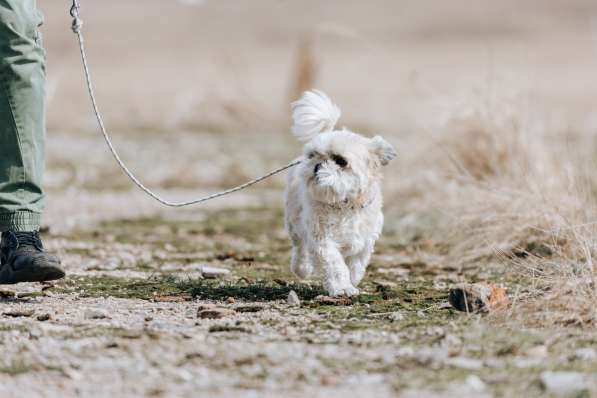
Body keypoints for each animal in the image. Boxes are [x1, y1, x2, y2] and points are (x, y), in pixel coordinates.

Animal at [284, 90, 396, 296]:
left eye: (340, 161)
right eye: (312, 155)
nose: (317, 166)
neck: (344, 204)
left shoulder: (364, 241)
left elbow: (356, 264)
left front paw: (352, 281)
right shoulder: (322, 240)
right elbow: (335, 265)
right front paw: (341, 288)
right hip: (293, 222)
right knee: (300, 247)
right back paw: (302, 268)